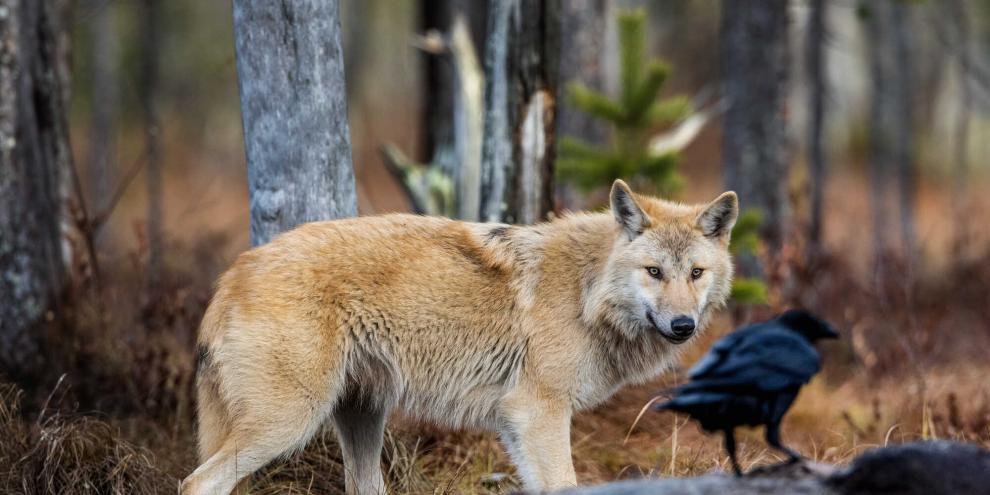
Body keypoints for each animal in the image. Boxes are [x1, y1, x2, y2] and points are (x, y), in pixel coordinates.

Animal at [180, 180, 738, 494]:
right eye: (654, 272)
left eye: (695, 273)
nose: (683, 326)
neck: (587, 292)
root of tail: (234, 272)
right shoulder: (539, 413)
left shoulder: (516, 422)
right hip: (288, 423)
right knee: (195, 483)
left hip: (361, 418)